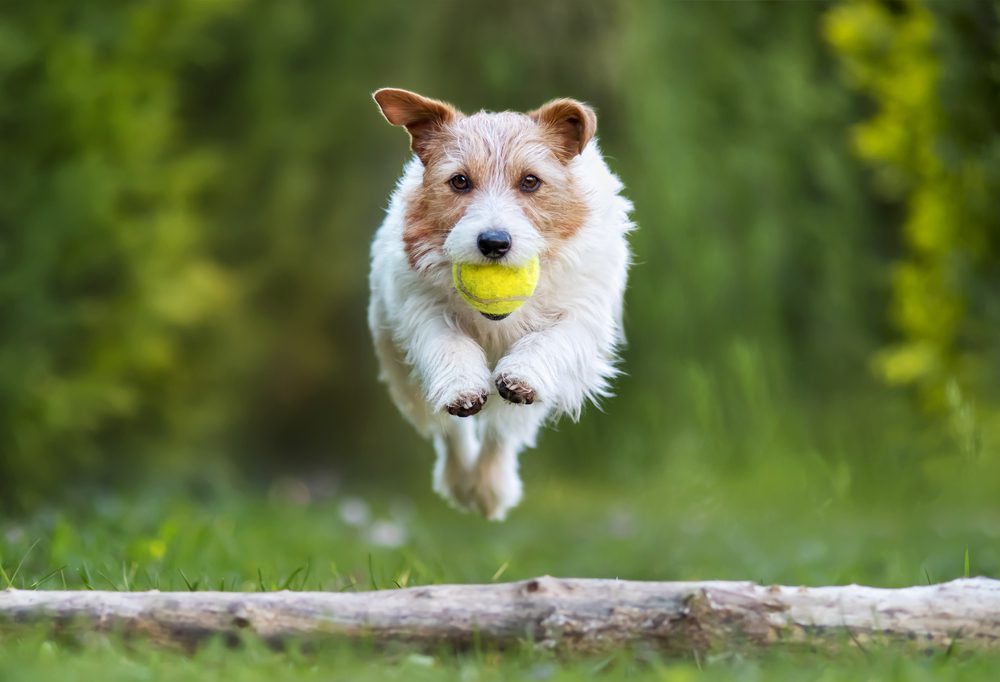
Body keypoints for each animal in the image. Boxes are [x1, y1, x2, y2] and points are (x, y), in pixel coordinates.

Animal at [368, 87, 632, 516]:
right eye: (459, 181)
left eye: (530, 181)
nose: (493, 242)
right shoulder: (421, 307)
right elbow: (450, 346)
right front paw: (462, 387)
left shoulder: (581, 313)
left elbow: (547, 339)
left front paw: (521, 374)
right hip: (401, 374)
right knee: (449, 430)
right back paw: (464, 481)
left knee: (501, 431)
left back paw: (488, 487)